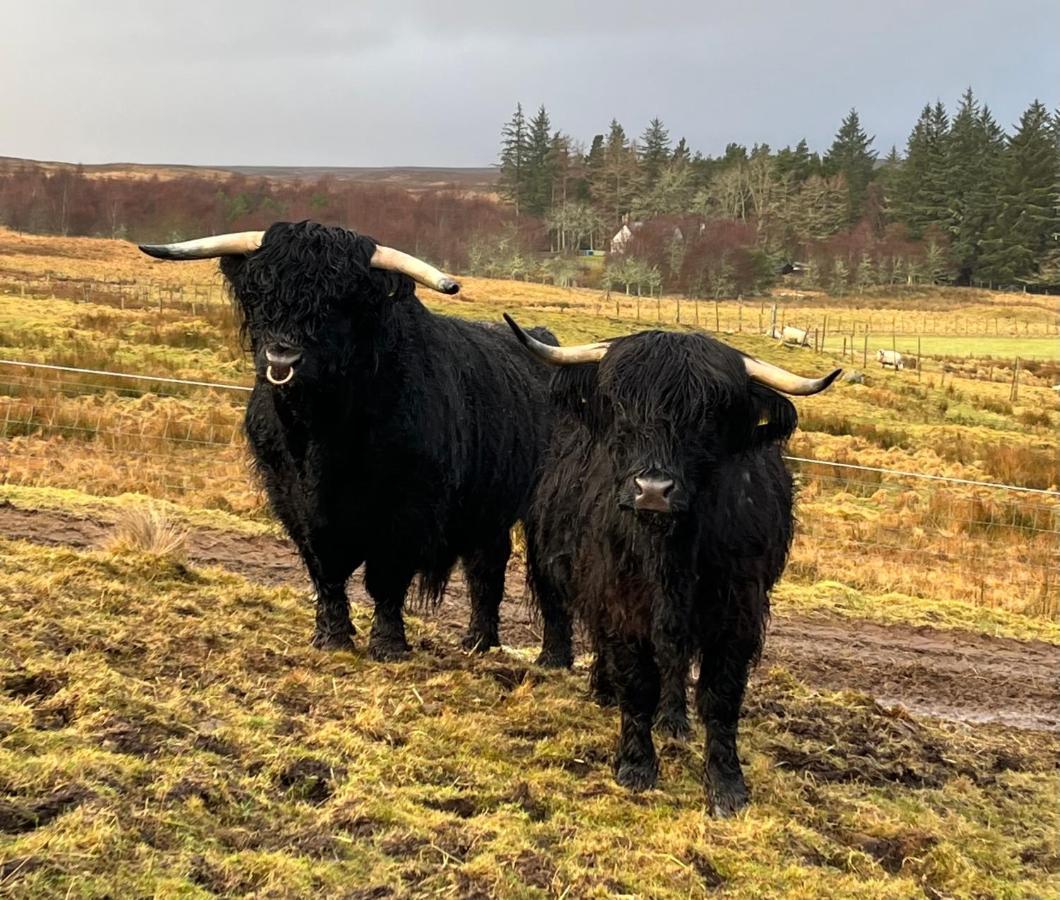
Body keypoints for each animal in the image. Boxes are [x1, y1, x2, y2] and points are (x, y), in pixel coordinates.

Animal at [142, 221, 576, 665]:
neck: (323, 431)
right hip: (488, 505)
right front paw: (331, 637)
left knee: (547, 575)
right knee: (486, 565)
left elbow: (386, 577)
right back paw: (477, 641)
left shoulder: (408, 506)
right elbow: (325, 570)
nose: (282, 358)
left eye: (339, 302)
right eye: (262, 293)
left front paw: (388, 644)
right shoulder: (291, 498)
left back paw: (553, 658)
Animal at [508, 315, 839, 814]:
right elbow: (635, 680)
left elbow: (720, 696)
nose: (652, 490)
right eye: (620, 405)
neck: (671, 550)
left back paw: (673, 720)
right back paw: (603, 690)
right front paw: (636, 765)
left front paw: (727, 786)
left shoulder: (738, 608)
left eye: (708, 414)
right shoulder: (620, 596)